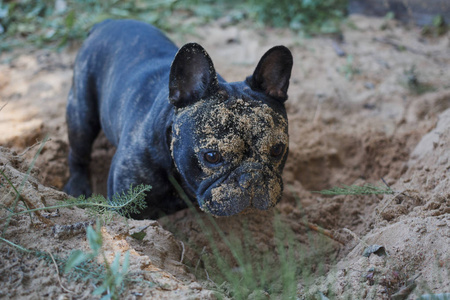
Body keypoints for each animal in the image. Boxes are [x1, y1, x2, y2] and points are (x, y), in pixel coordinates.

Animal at [65, 19, 294, 219]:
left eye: (277, 150)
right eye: (212, 156)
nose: (251, 177)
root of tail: (107, 22)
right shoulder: (125, 204)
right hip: (81, 114)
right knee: (78, 153)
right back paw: (77, 187)